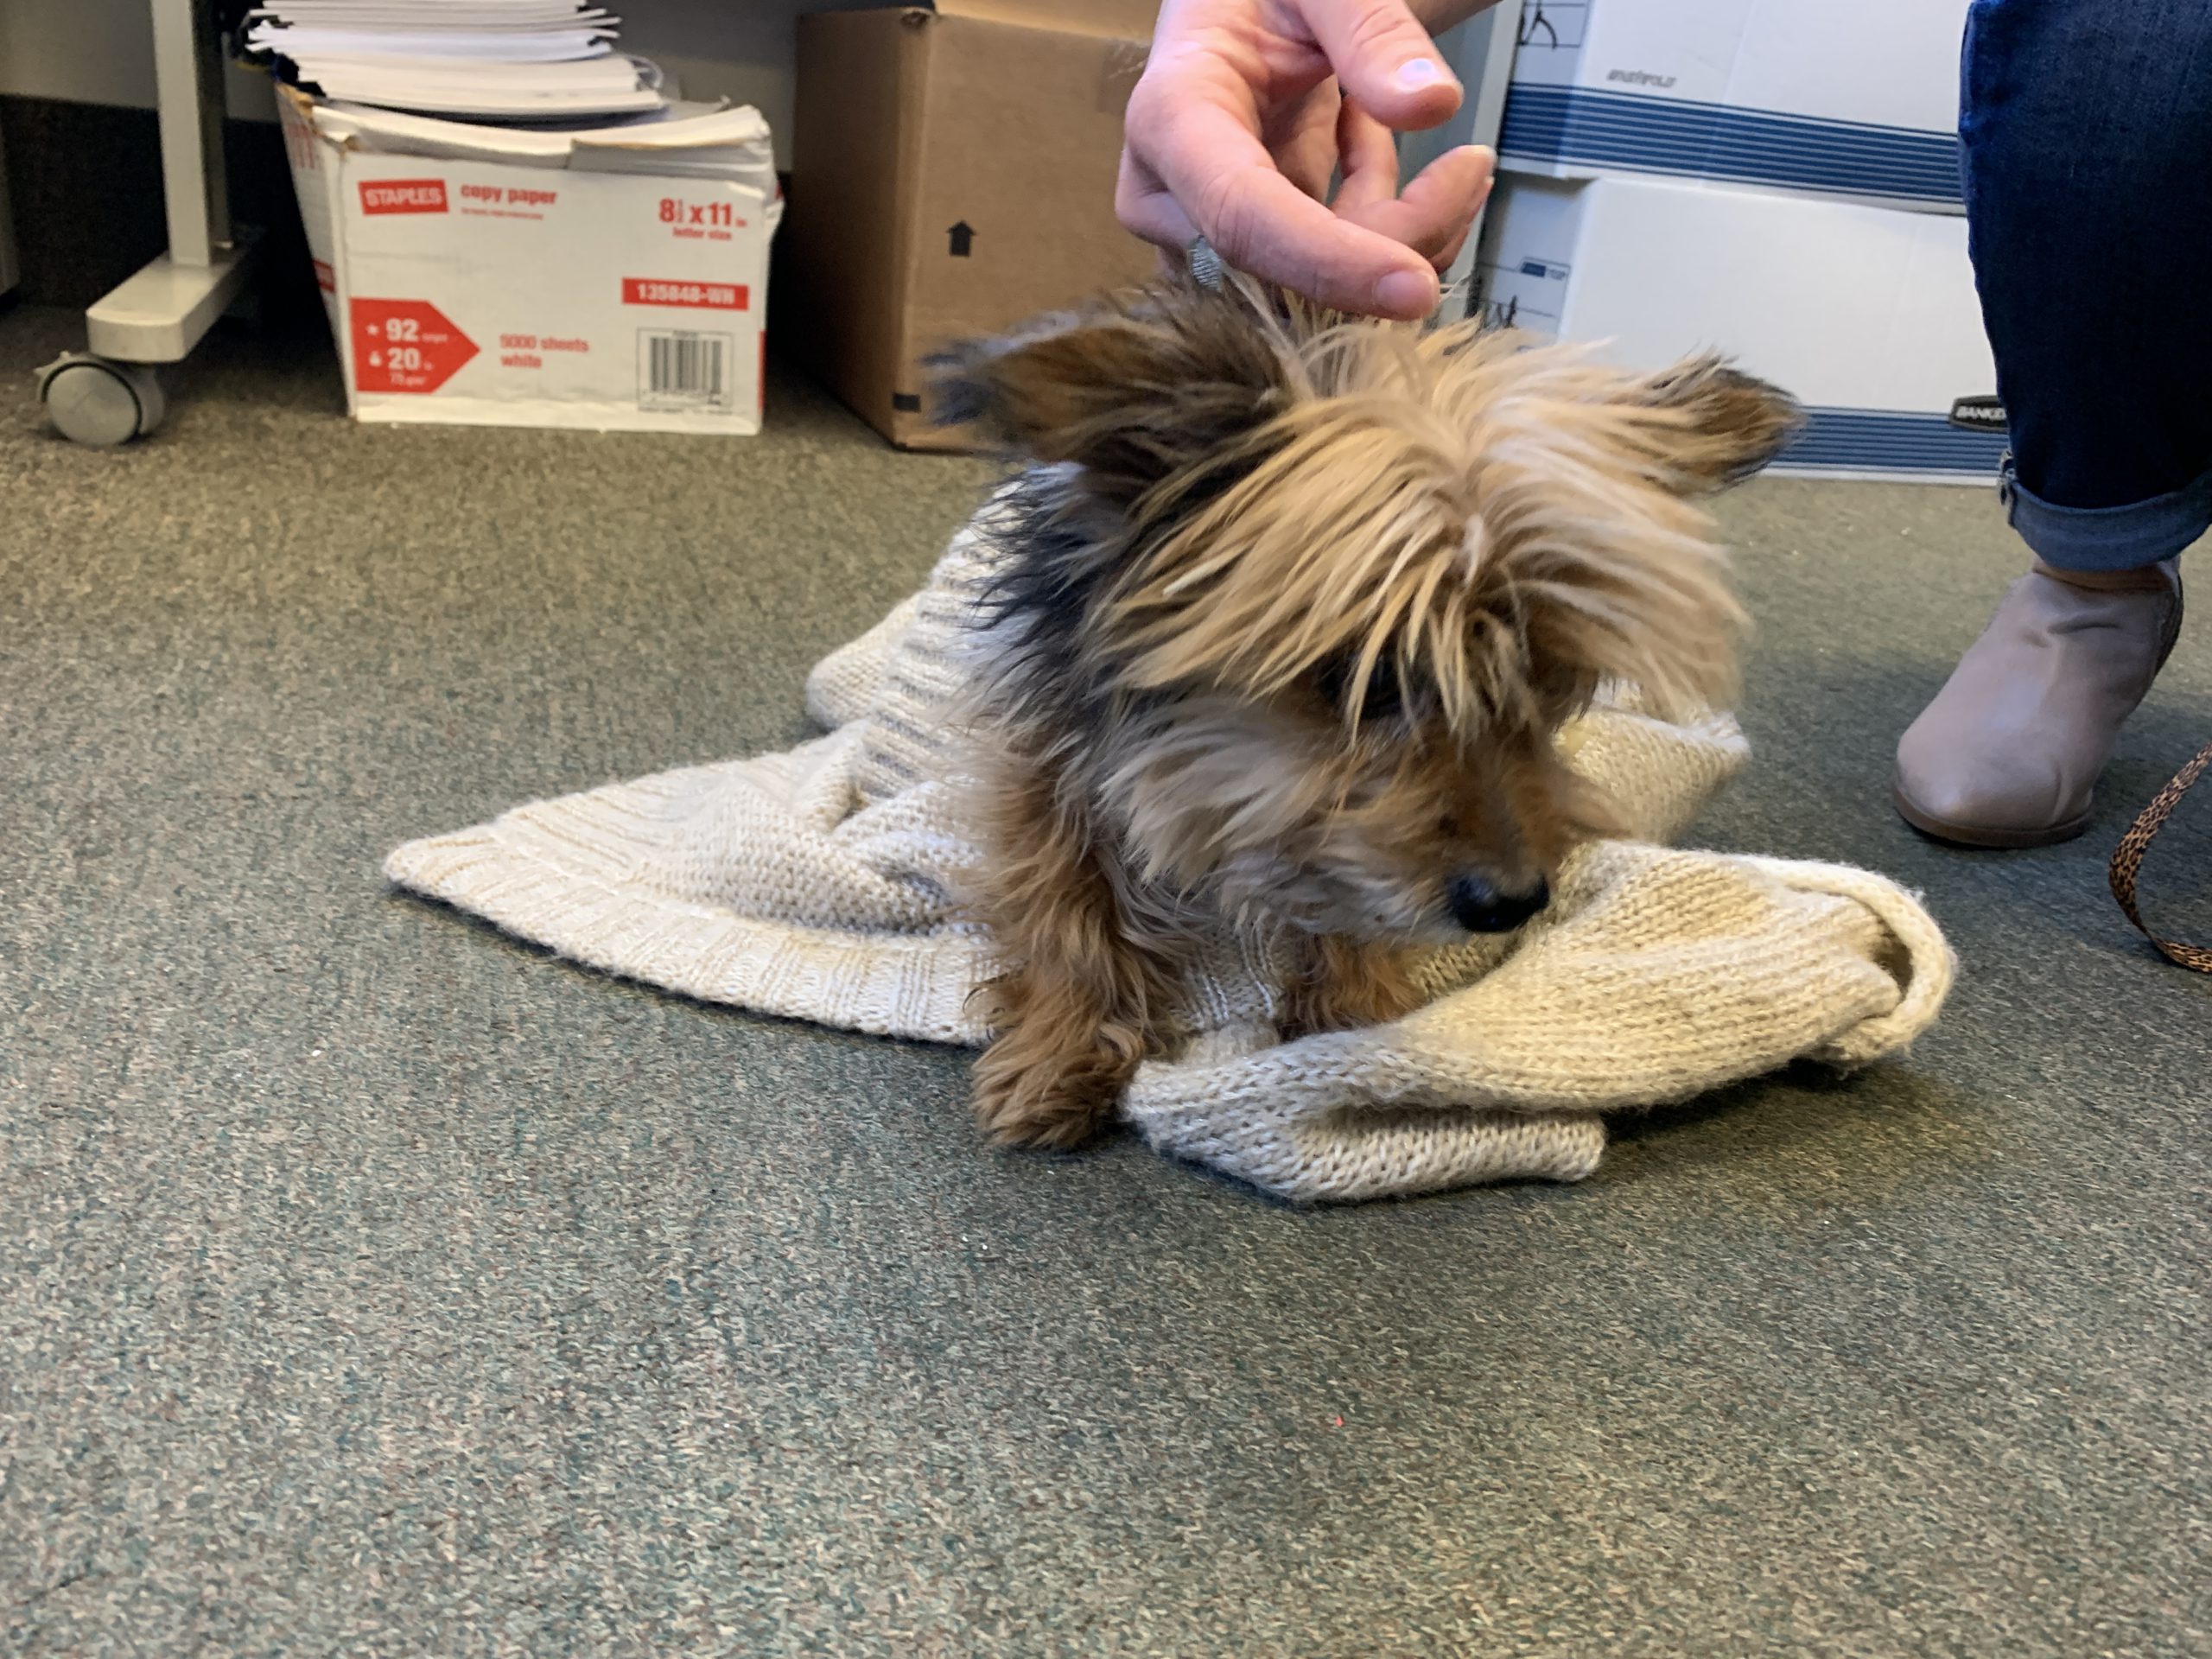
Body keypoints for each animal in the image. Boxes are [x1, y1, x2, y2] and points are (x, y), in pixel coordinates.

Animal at [932, 276, 1800, 1150]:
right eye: (1370, 679)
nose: (1513, 902)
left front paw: (1352, 1012)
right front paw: (1064, 1042)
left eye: (1545, 677)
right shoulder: (1046, 747)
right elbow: (1062, 896)